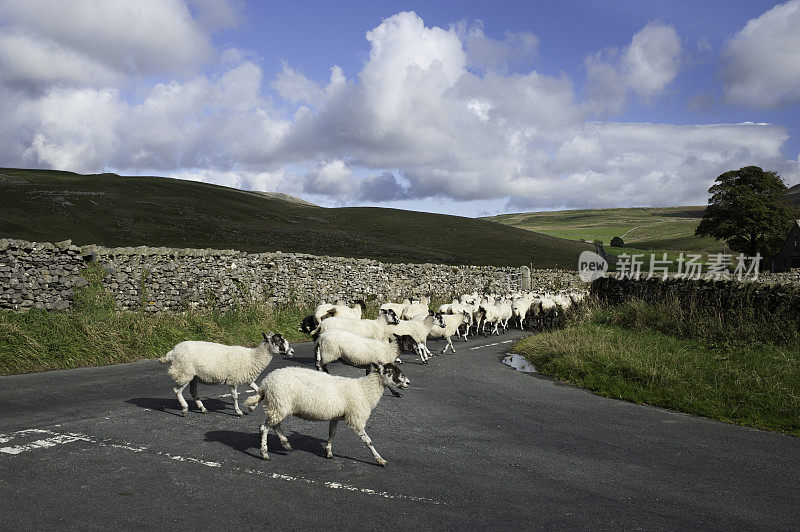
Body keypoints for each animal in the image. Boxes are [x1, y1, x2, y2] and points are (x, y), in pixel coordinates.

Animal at [159, 332, 294, 416]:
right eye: (278, 340)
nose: (292, 351)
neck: (253, 357)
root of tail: (172, 352)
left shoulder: (248, 378)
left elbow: (258, 391)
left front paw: (252, 407)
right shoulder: (233, 380)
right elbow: (235, 397)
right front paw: (238, 411)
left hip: (193, 376)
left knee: (193, 392)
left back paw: (203, 409)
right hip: (184, 372)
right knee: (177, 390)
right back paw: (184, 409)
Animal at [244, 362, 410, 466]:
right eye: (392, 372)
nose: (408, 383)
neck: (365, 390)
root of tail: (265, 383)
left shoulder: (335, 416)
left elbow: (332, 433)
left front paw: (328, 452)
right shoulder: (356, 418)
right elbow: (368, 441)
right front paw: (380, 460)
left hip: (279, 406)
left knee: (275, 425)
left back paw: (286, 444)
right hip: (278, 404)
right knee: (264, 428)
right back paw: (264, 453)